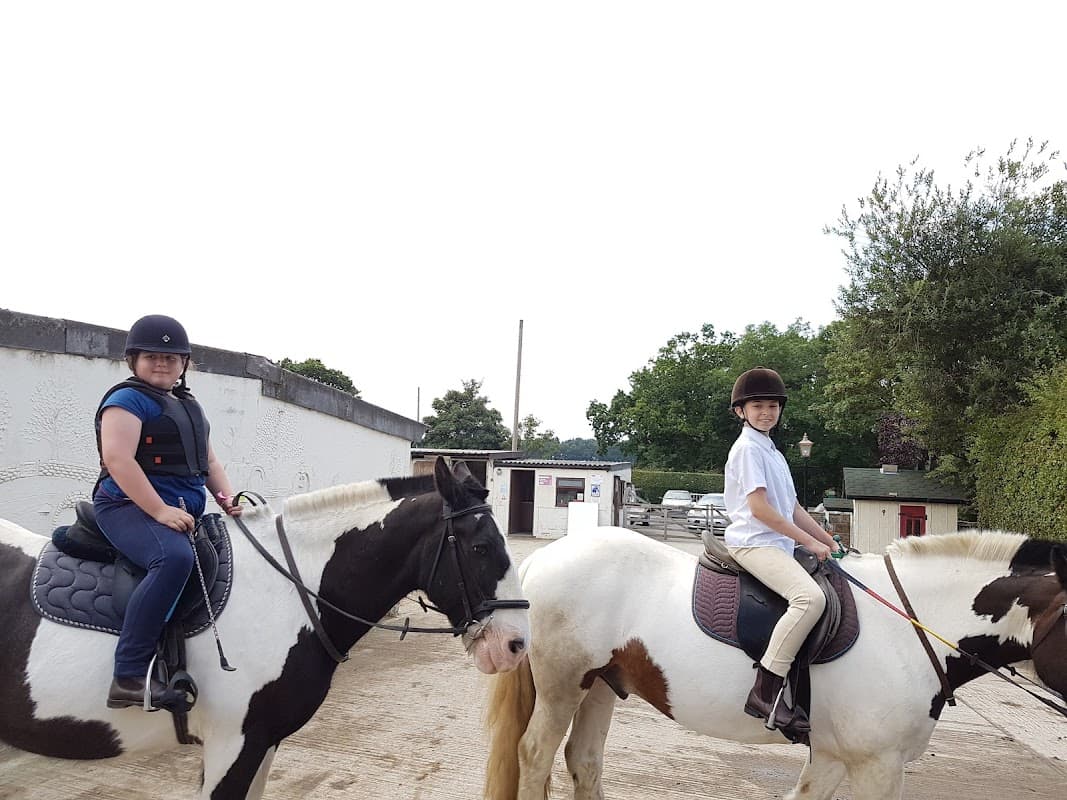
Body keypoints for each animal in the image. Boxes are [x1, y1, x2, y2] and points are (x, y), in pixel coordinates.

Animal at [484, 526, 1067, 800]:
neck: (910, 626)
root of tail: (543, 558)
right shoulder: (876, 765)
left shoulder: (833, 756)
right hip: (564, 684)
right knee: (534, 754)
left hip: (604, 683)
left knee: (583, 760)